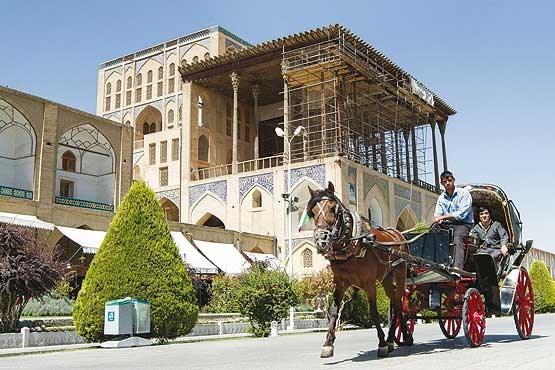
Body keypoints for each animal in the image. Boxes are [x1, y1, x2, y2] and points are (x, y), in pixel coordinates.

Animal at [304, 181, 416, 356]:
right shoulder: (340, 283)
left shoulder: (369, 282)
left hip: (400, 271)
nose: (321, 240)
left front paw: (382, 344)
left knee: (398, 303)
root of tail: (399, 234)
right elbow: (333, 311)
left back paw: (391, 339)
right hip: (386, 276)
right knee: (394, 300)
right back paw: (401, 337)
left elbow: (374, 312)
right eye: (313, 211)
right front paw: (328, 344)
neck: (352, 245)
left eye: (332, 208)